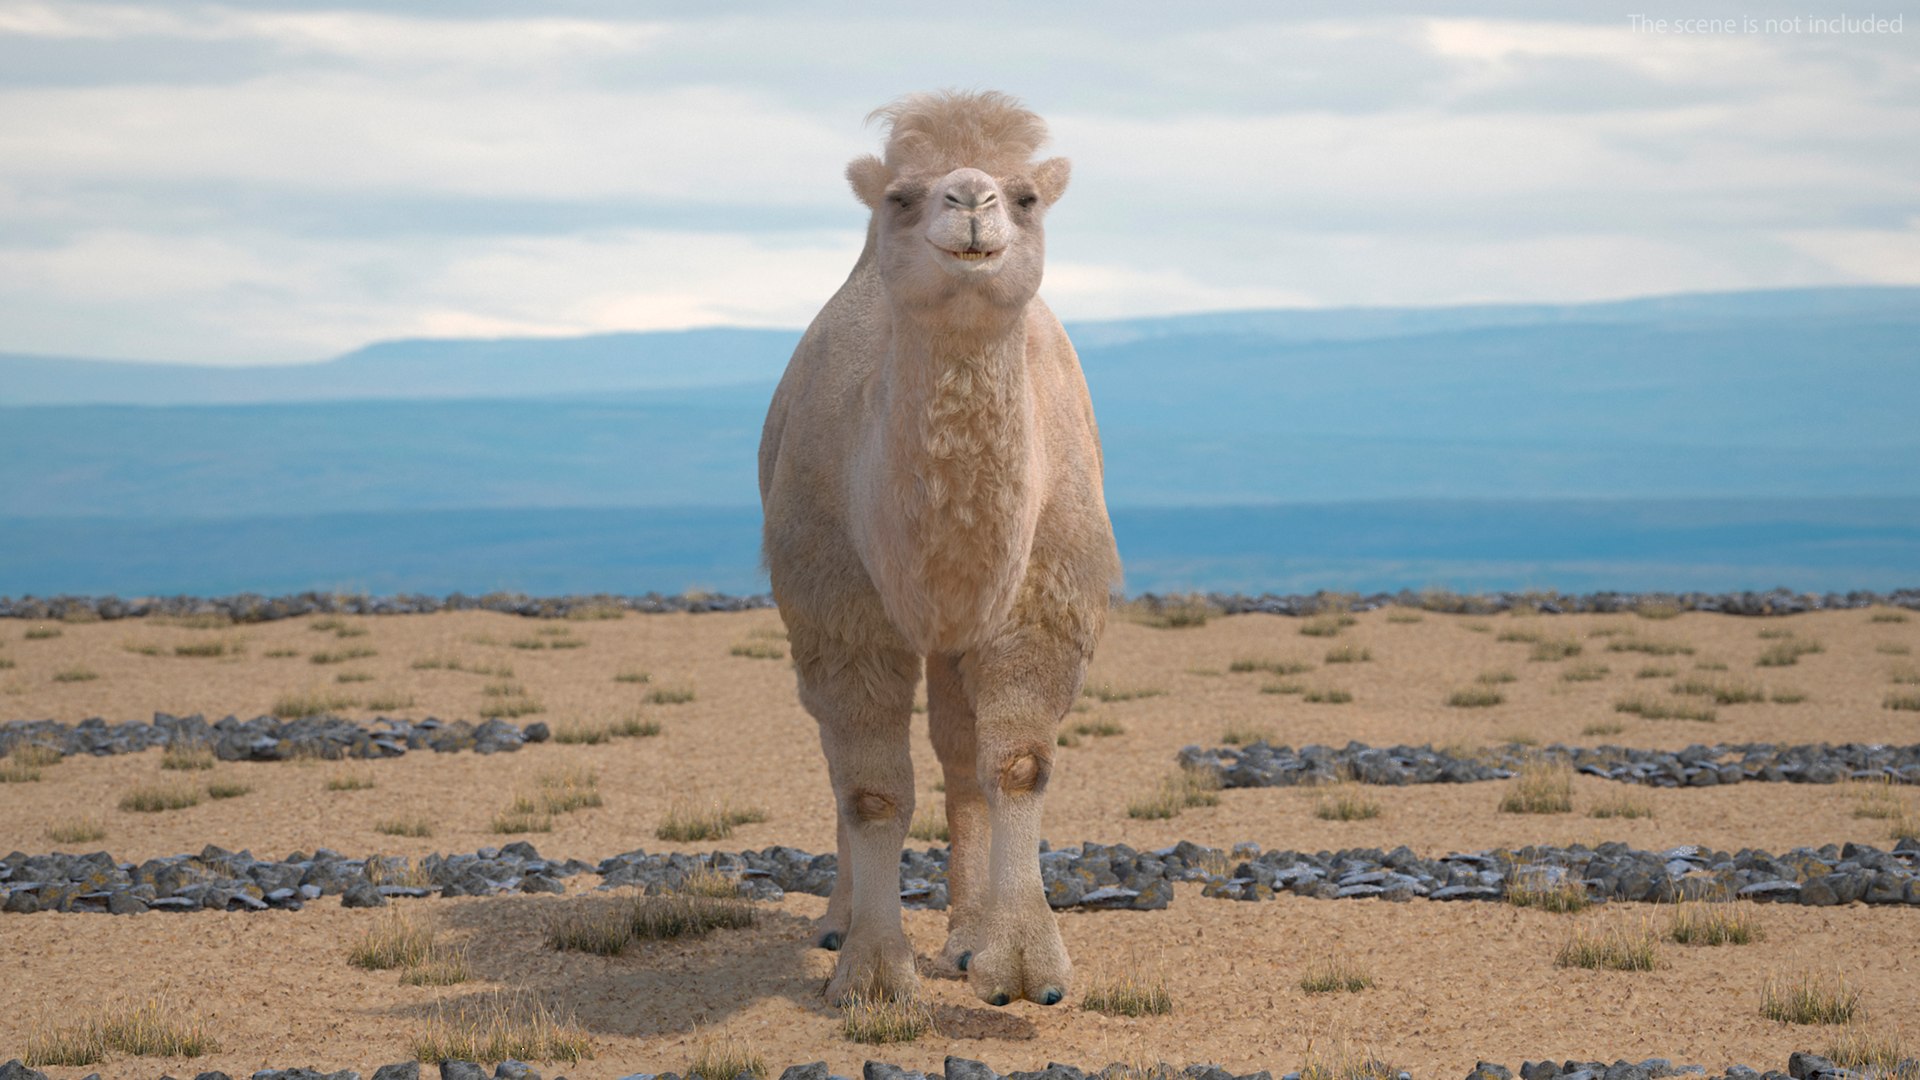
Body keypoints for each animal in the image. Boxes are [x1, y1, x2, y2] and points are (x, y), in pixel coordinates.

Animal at [757, 90, 1120, 1008]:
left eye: (1025, 196)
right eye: (900, 197)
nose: (972, 202)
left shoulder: (1038, 598)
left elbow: (1018, 763)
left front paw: (1022, 966)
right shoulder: (840, 609)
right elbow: (872, 791)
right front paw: (872, 971)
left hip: (957, 642)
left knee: (960, 757)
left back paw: (963, 934)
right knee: (838, 759)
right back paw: (839, 919)